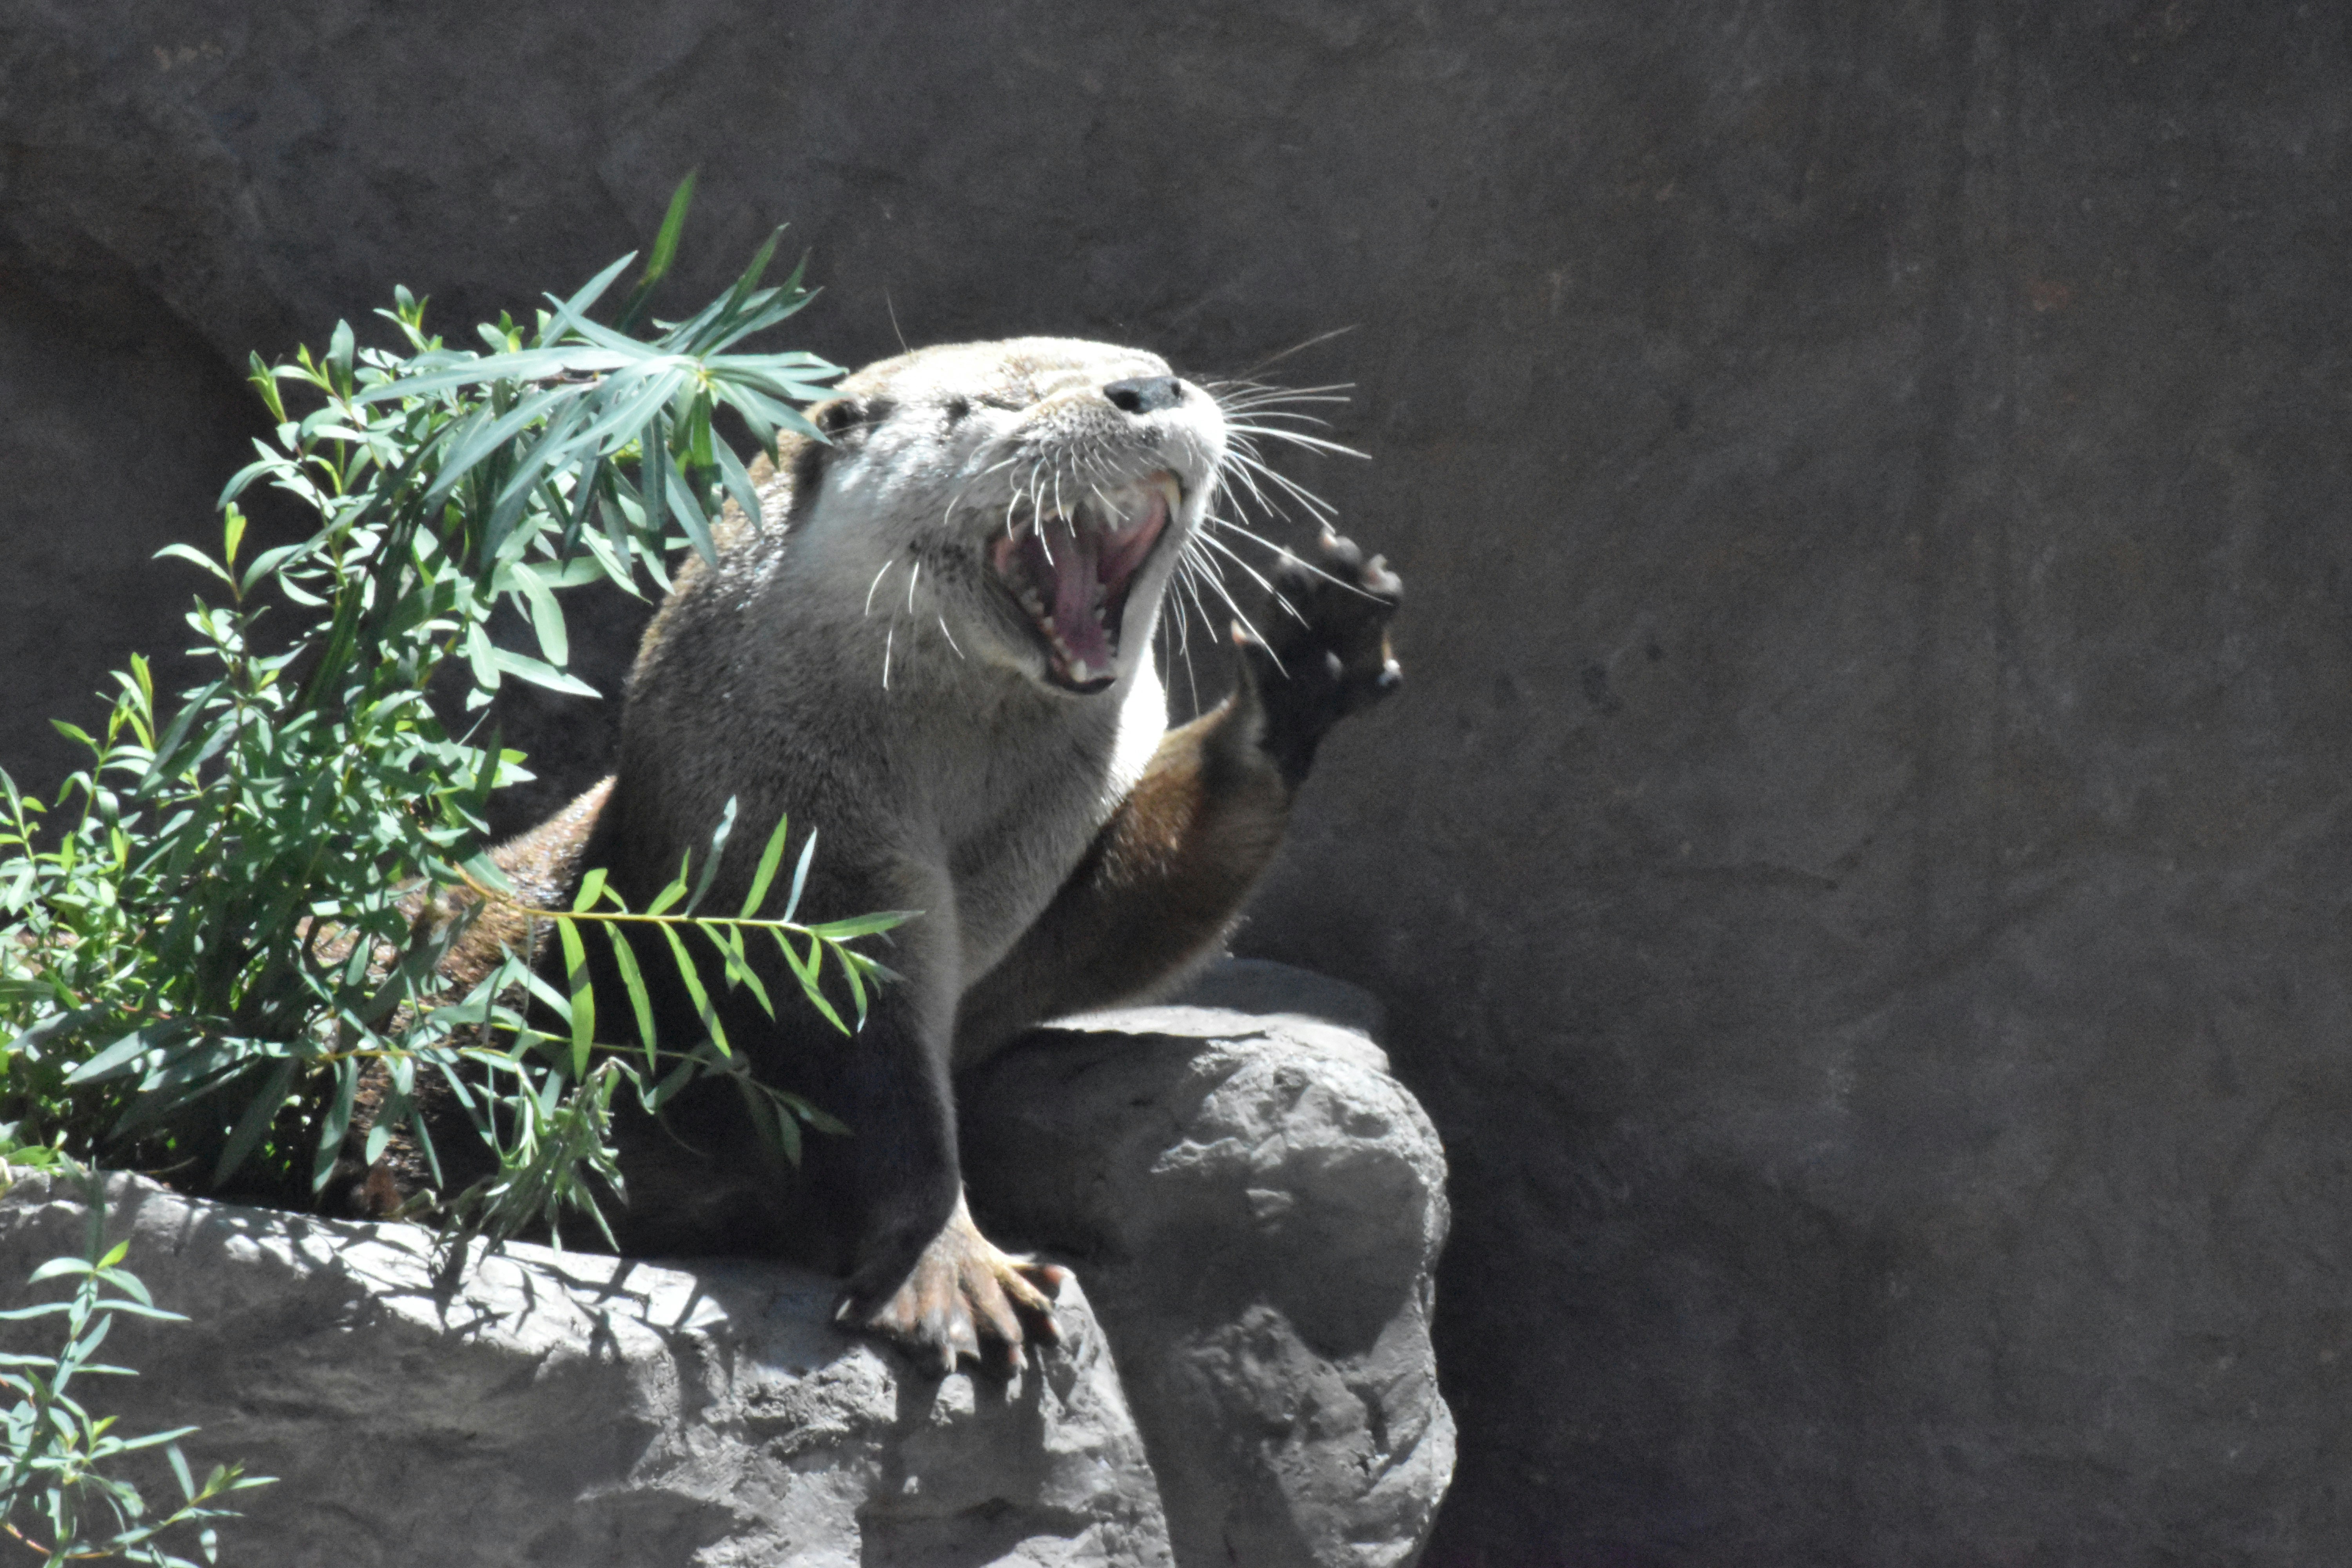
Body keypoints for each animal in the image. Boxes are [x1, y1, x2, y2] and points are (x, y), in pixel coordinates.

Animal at [368, 338, 1401, 1372]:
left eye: (1154, 365)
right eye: (987, 404)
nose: (1146, 388)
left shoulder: (1027, 913)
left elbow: (1137, 910)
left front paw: (1311, 650)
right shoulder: (800, 878)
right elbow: (869, 1099)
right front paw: (955, 1272)